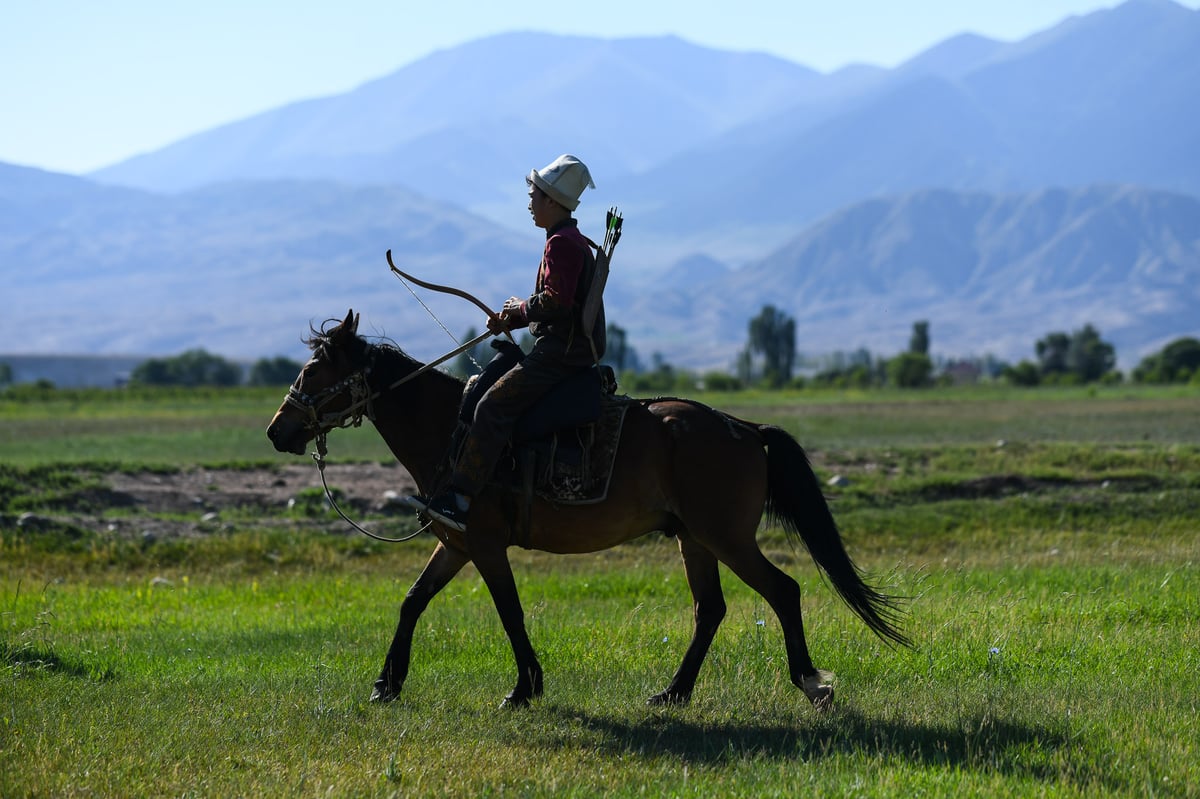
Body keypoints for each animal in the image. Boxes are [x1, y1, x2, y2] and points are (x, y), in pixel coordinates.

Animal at [267, 307, 902, 705]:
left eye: (316, 370)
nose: (278, 430)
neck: (454, 428)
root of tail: (744, 428)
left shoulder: (486, 545)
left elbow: (509, 612)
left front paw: (524, 688)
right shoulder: (457, 542)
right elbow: (411, 602)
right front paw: (386, 684)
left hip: (727, 537)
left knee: (782, 591)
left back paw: (811, 683)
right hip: (693, 538)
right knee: (711, 610)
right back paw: (672, 693)